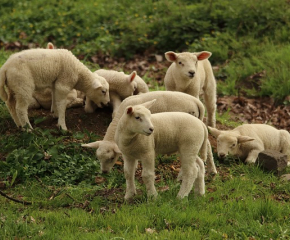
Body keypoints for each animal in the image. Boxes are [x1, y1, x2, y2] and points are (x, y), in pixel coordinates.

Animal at [81, 90, 218, 174]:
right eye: (98, 158)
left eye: (112, 158)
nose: (104, 172)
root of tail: (197, 102)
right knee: (207, 143)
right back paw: (212, 169)